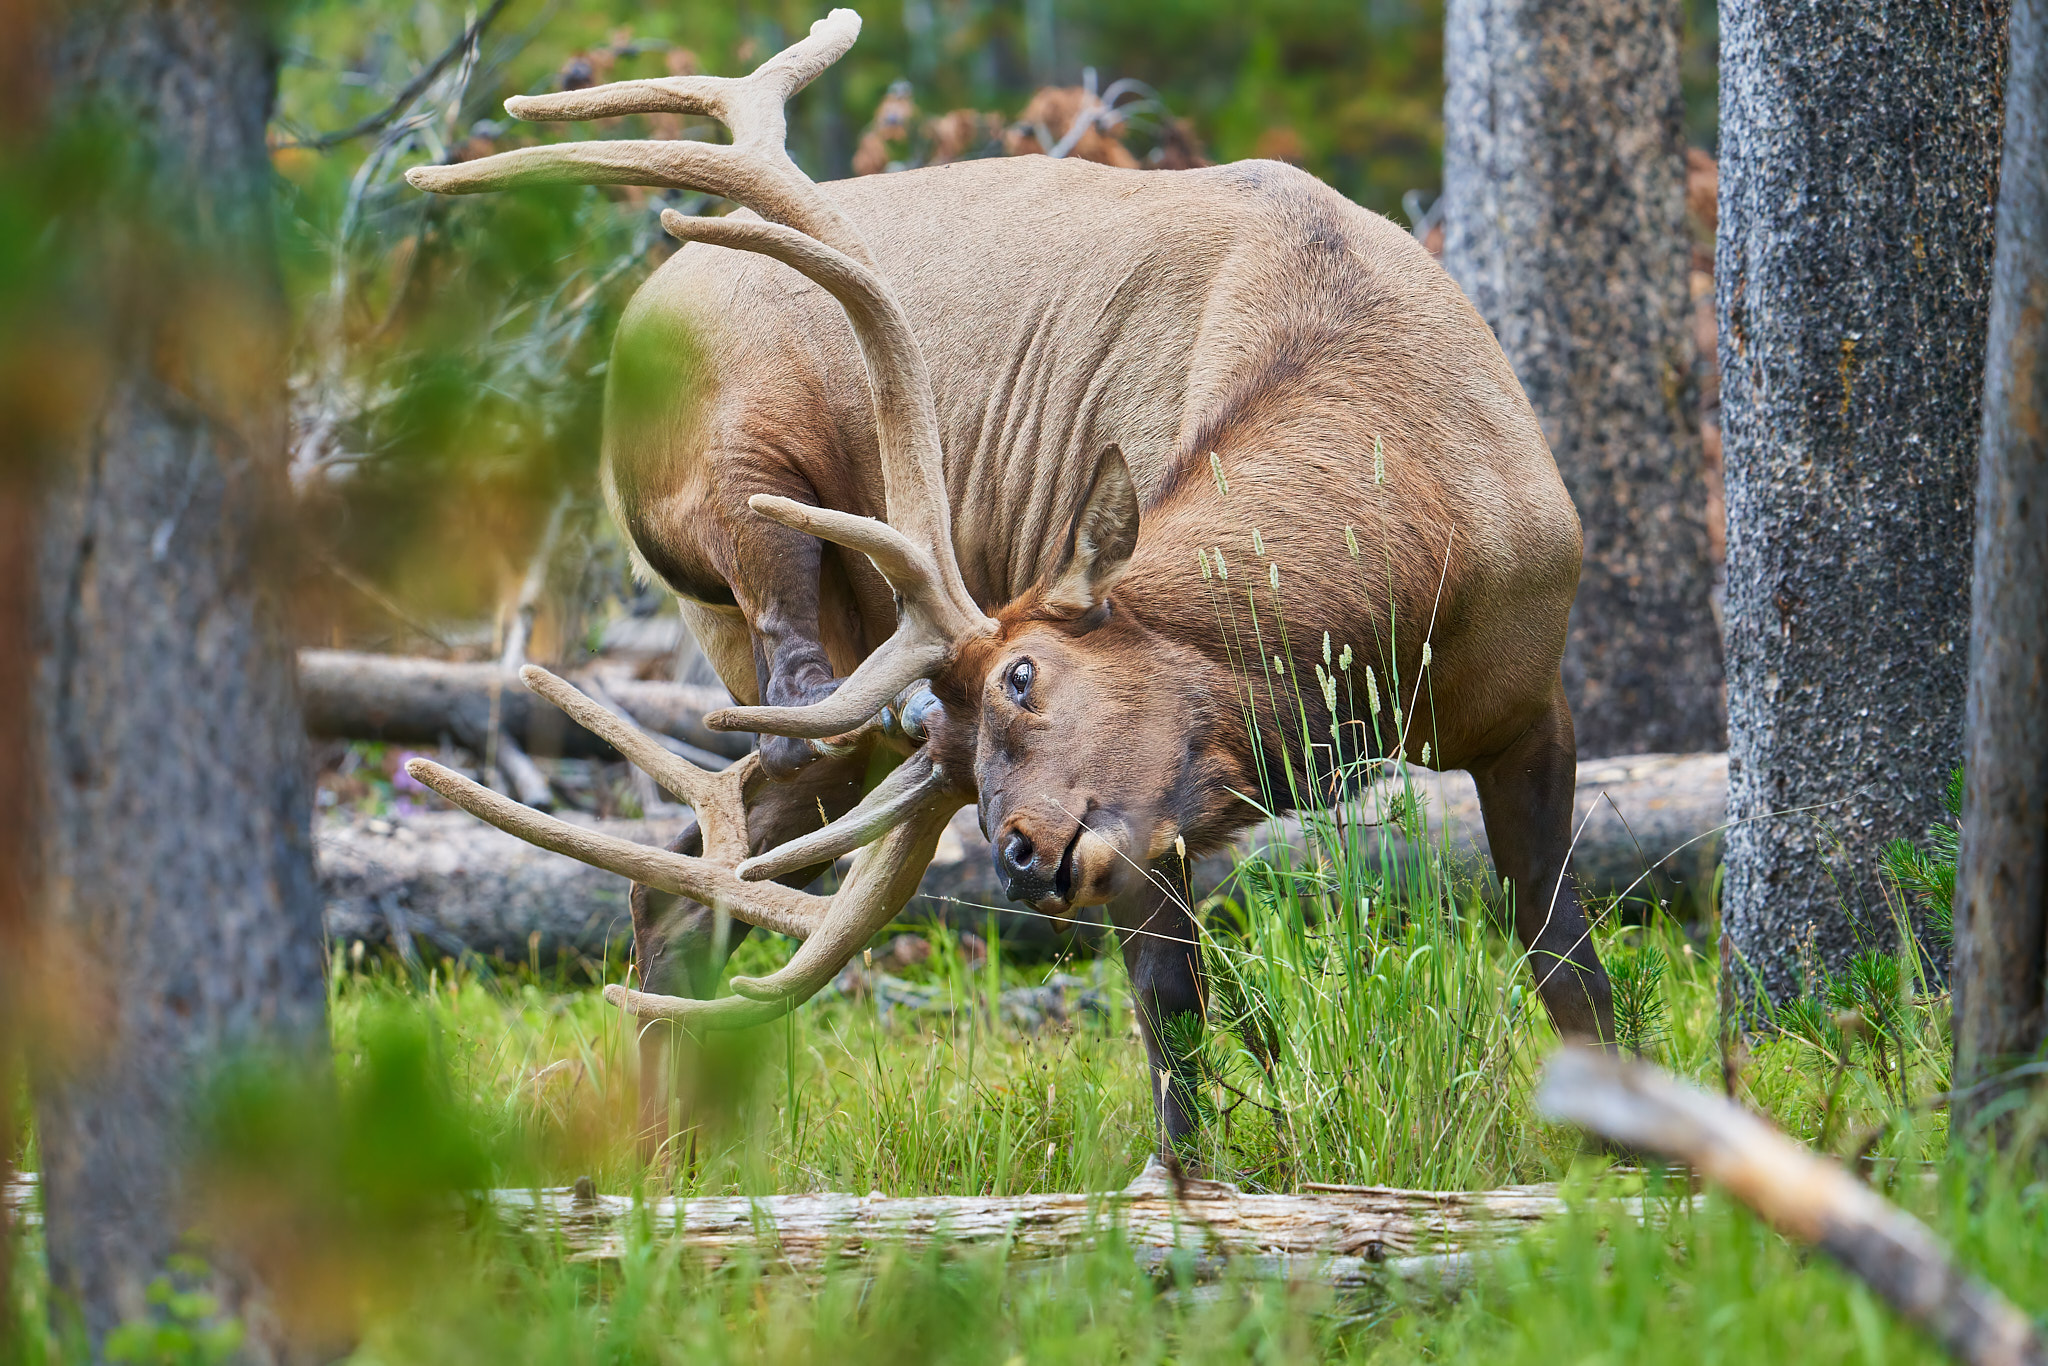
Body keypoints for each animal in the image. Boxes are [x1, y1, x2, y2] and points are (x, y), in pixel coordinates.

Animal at [400, 9, 1615, 1155]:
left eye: (1024, 676)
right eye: (984, 743)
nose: (1022, 854)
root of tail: (624, 348)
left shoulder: (1530, 703)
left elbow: (1568, 964)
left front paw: (1623, 1152)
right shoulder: (1150, 826)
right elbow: (1170, 1008)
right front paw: (1190, 1185)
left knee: (688, 875)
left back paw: (672, 1157)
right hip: (753, 513)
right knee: (767, 752)